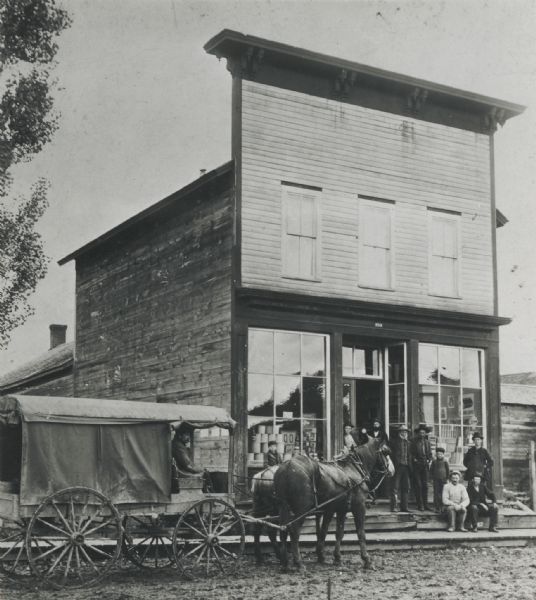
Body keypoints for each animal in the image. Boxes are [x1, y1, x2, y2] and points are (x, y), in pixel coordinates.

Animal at [274, 436, 392, 572]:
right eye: (386, 452)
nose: (391, 470)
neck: (353, 469)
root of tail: (287, 466)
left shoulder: (339, 509)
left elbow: (336, 533)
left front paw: (335, 557)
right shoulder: (359, 507)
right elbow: (360, 533)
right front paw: (366, 559)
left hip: (283, 506)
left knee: (283, 530)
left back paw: (285, 562)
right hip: (302, 509)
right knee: (294, 531)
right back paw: (298, 562)